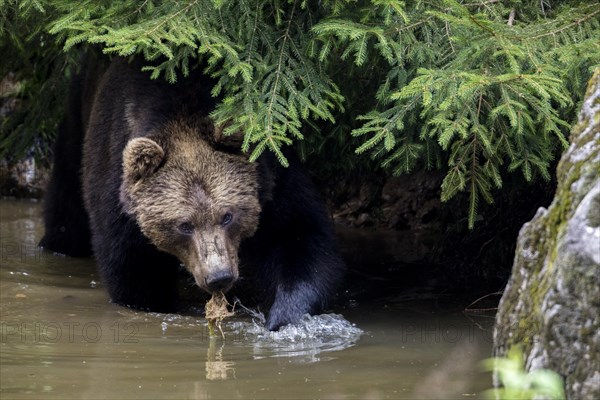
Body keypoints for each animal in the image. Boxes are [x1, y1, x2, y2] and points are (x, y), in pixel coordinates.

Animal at [39, 54, 344, 330]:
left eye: (227, 216)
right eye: (184, 225)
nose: (219, 276)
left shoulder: (270, 180)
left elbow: (299, 236)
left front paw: (283, 316)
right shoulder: (118, 188)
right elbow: (133, 269)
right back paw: (58, 242)